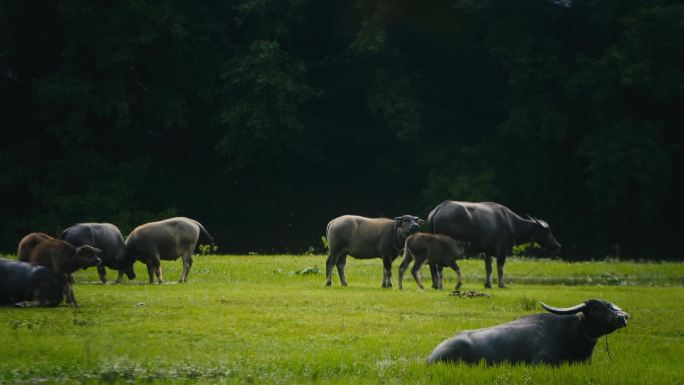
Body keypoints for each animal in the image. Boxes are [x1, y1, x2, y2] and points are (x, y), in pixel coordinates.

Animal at [428, 201, 560, 288]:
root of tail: (438, 209)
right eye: (548, 232)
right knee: (439, 265)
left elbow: (488, 268)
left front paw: (488, 284)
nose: (558, 246)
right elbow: (500, 267)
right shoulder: (502, 249)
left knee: (433, 265)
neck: (511, 224)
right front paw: (502, 284)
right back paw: (440, 285)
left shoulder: (487, 250)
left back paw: (435, 285)